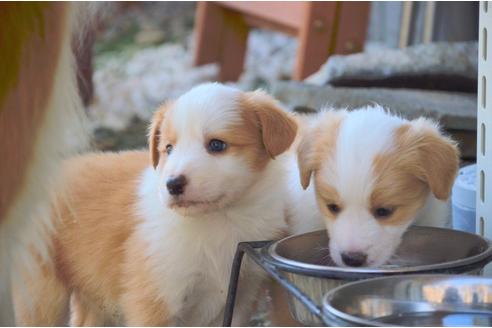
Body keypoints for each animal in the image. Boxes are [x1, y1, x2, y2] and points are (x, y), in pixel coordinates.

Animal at [15, 84, 298, 326]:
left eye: (217, 145)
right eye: (168, 149)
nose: (172, 184)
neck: (219, 220)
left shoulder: (240, 295)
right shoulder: (153, 297)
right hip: (41, 294)